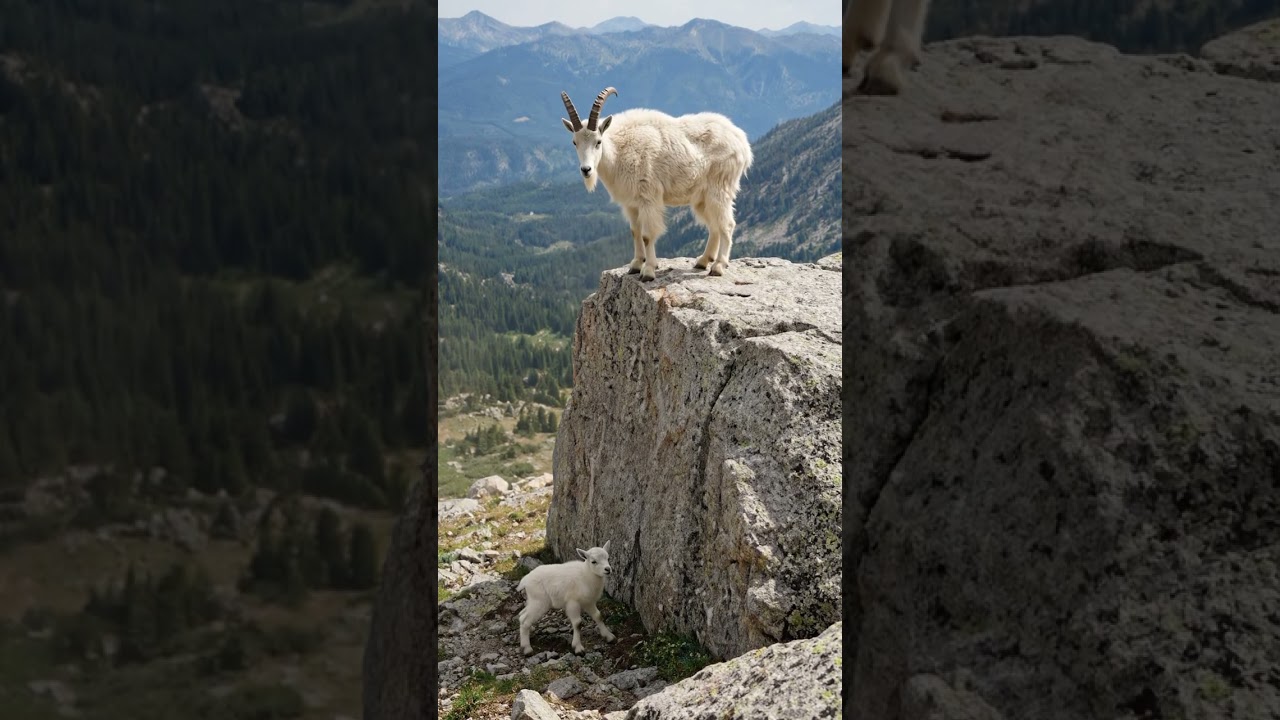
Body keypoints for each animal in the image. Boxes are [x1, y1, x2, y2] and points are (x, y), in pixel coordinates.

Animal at [561, 87, 753, 281]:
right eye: (574, 142)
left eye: (598, 142)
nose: (586, 170)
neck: (619, 151)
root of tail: (742, 141)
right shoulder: (631, 203)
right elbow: (635, 231)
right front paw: (636, 265)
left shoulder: (648, 197)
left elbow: (647, 235)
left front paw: (648, 271)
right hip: (702, 197)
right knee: (714, 224)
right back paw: (703, 261)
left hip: (720, 186)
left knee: (727, 224)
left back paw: (718, 266)